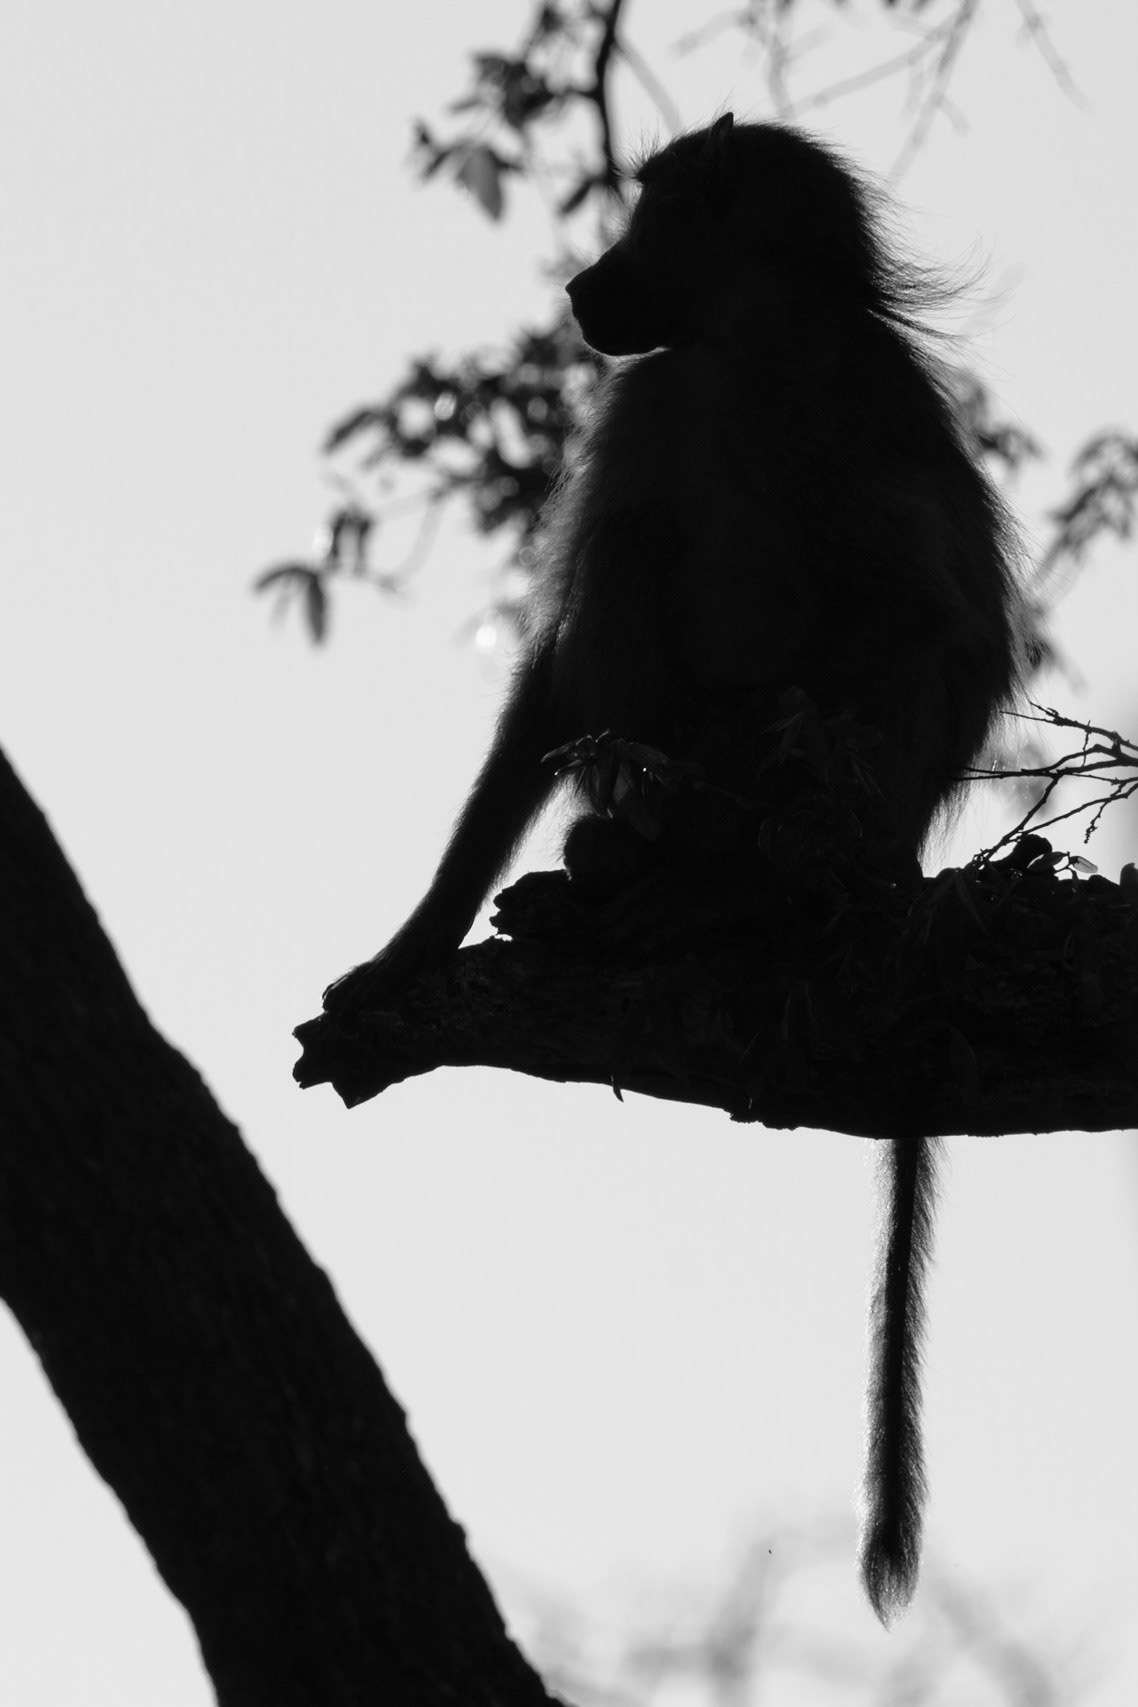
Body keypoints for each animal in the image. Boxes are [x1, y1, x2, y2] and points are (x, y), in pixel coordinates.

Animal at [322, 115, 1020, 1622]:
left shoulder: (836, 398)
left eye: (651, 219)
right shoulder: (651, 398)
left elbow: (927, 617)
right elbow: (555, 667)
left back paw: (719, 885)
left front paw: (717, 878)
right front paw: (411, 949)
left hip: (850, 804)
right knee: (640, 557)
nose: (585, 282)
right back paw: (604, 871)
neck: (741, 348)